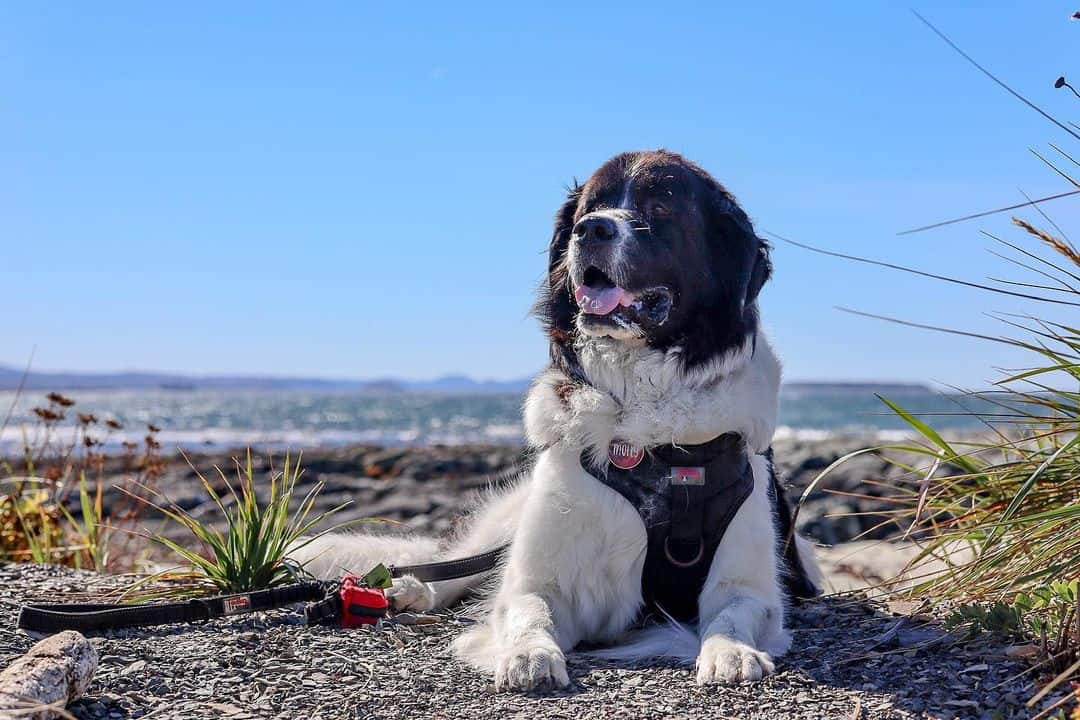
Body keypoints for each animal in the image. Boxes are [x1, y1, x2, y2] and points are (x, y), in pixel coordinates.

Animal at [295, 151, 816, 690]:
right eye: (590, 207)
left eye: (661, 206)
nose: (591, 230)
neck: (640, 417)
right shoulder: (539, 576)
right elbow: (528, 608)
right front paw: (529, 655)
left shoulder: (748, 579)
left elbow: (733, 611)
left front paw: (730, 651)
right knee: (454, 571)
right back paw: (404, 592)